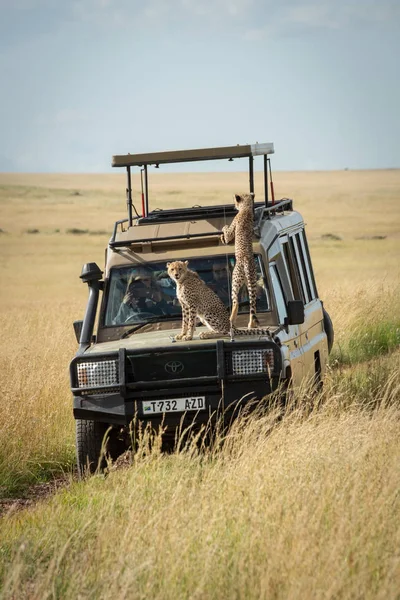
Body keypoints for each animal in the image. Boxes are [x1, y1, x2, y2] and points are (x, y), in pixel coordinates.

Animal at [222, 192, 260, 328]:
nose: (234, 206)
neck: (246, 208)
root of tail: (247, 261)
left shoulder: (231, 232)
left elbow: (227, 234)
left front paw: (223, 228)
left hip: (235, 279)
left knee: (236, 301)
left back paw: (231, 320)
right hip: (252, 282)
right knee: (253, 304)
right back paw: (251, 324)